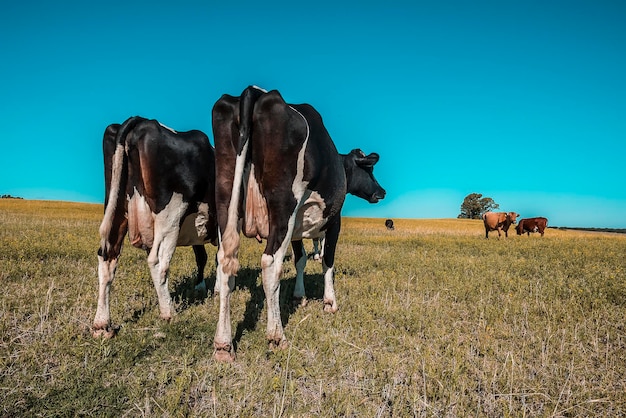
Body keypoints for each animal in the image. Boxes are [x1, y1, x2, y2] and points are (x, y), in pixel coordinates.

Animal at [91, 116, 218, 338]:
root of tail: (142, 120)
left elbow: (201, 256)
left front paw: (200, 287)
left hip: (116, 209)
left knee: (107, 257)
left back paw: (102, 323)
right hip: (170, 215)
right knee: (157, 260)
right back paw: (169, 313)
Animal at [211, 86, 386, 360]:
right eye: (369, 171)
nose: (382, 191)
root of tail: (254, 92)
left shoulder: (296, 229)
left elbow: (300, 259)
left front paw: (298, 296)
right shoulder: (333, 222)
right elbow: (327, 261)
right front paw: (329, 302)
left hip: (226, 200)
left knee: (224, 262)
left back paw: (223, 344)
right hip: (283, 207)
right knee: (270, 263)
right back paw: (276, 336)